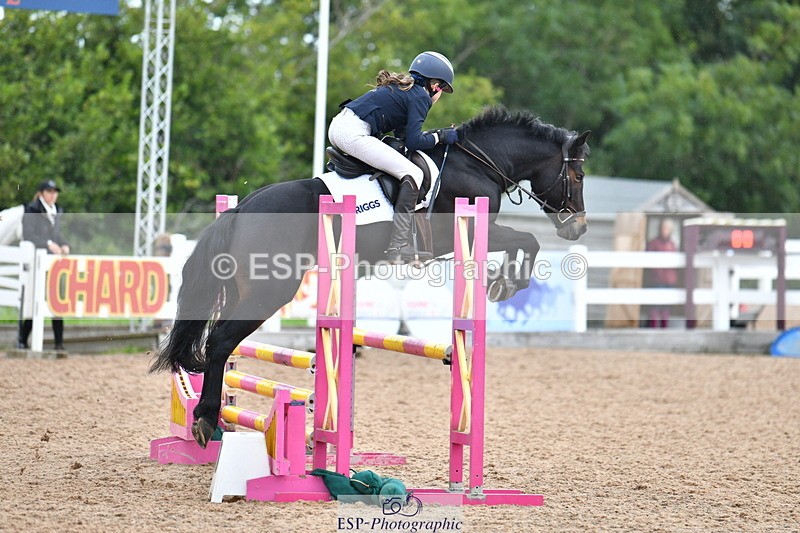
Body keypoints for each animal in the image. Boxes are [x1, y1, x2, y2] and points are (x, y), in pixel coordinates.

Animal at [150, 106, 590, 448]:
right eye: (579, 176)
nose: (578, 228)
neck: (477, 162)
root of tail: (241, 209)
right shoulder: (465, 230)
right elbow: (527, 239)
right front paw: (507, 283)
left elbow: (523, 241)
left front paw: (504, 281)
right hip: (269, 291)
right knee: (221, 341)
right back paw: (206, 419)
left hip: (247, 289)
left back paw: (213, 423)